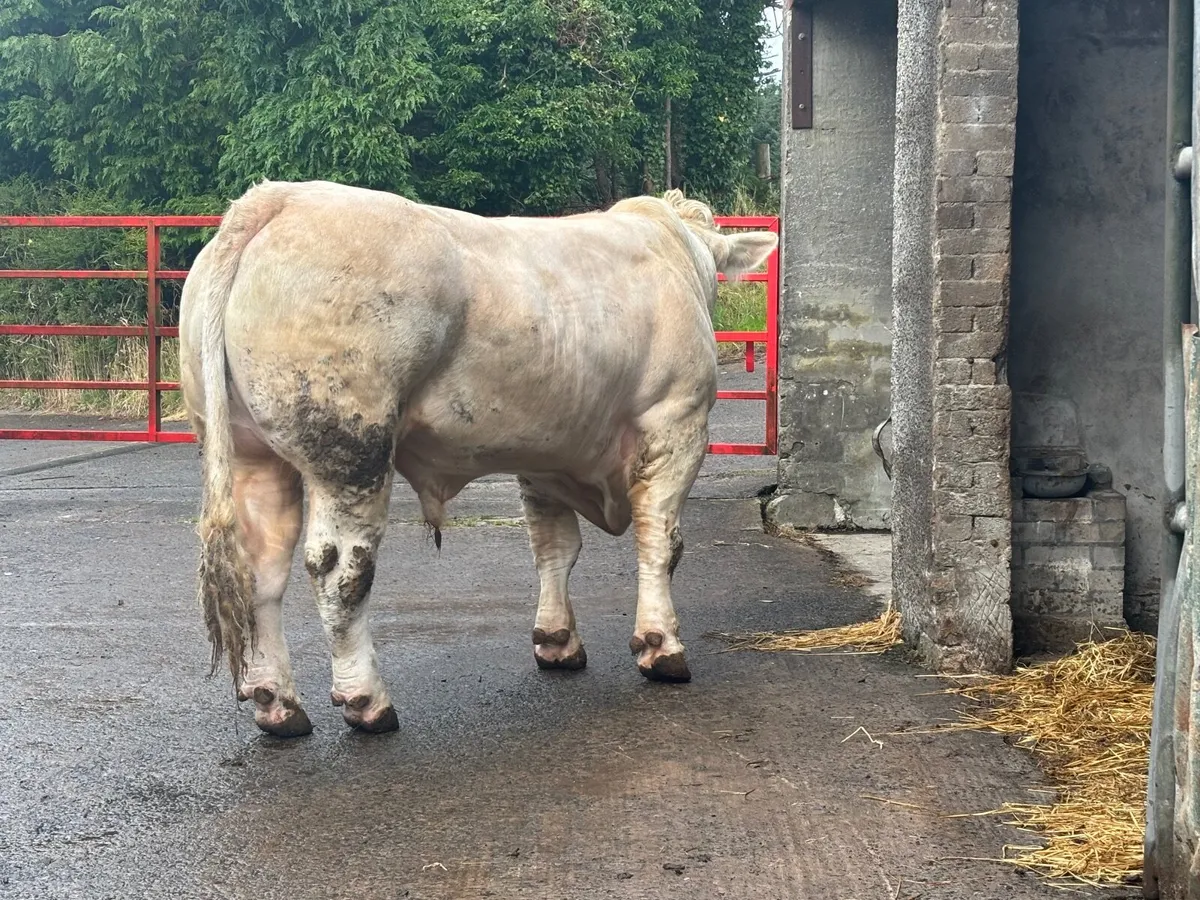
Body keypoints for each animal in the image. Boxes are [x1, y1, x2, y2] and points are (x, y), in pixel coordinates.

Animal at [179, 180, 778, 737]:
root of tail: (279, 198)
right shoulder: (676, 421)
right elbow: (661, 540)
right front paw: (661, 644)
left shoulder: (546, 450)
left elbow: (554, 547)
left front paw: (556, 640)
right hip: (351, 452)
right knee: (340, 571)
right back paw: (365, 700)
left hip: (251, 454)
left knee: (262, 568)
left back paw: (276, 701)